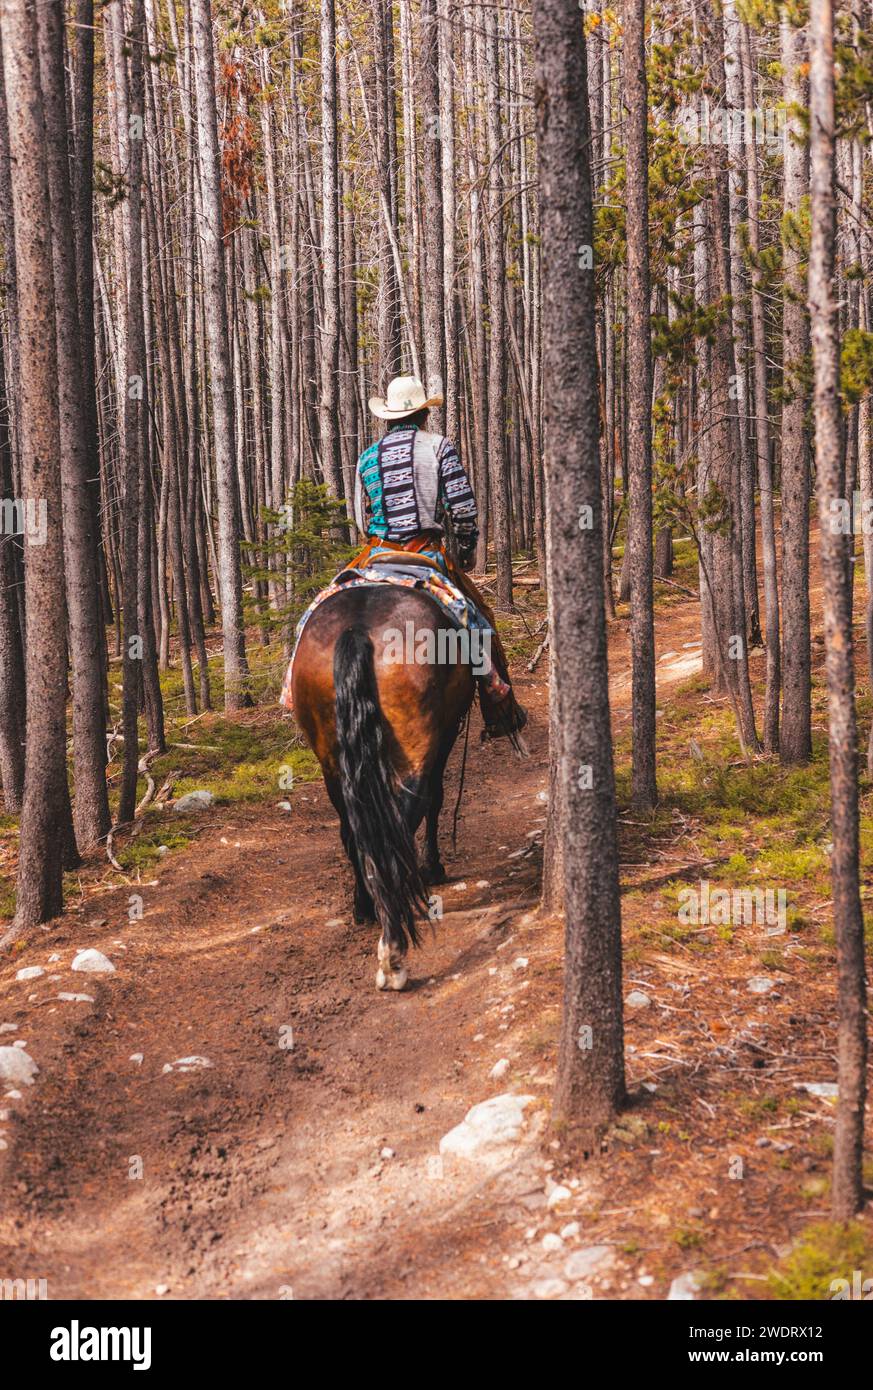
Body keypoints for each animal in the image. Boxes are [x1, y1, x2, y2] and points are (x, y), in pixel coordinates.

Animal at [290, 581, 472, 995]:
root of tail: (357, 629)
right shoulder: (444, 736)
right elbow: (436, 800)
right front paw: (433, 866)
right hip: (417, 746)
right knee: (405, 819)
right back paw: (393, 952)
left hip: (331, 762)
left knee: (353, 831)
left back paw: (365, 907)